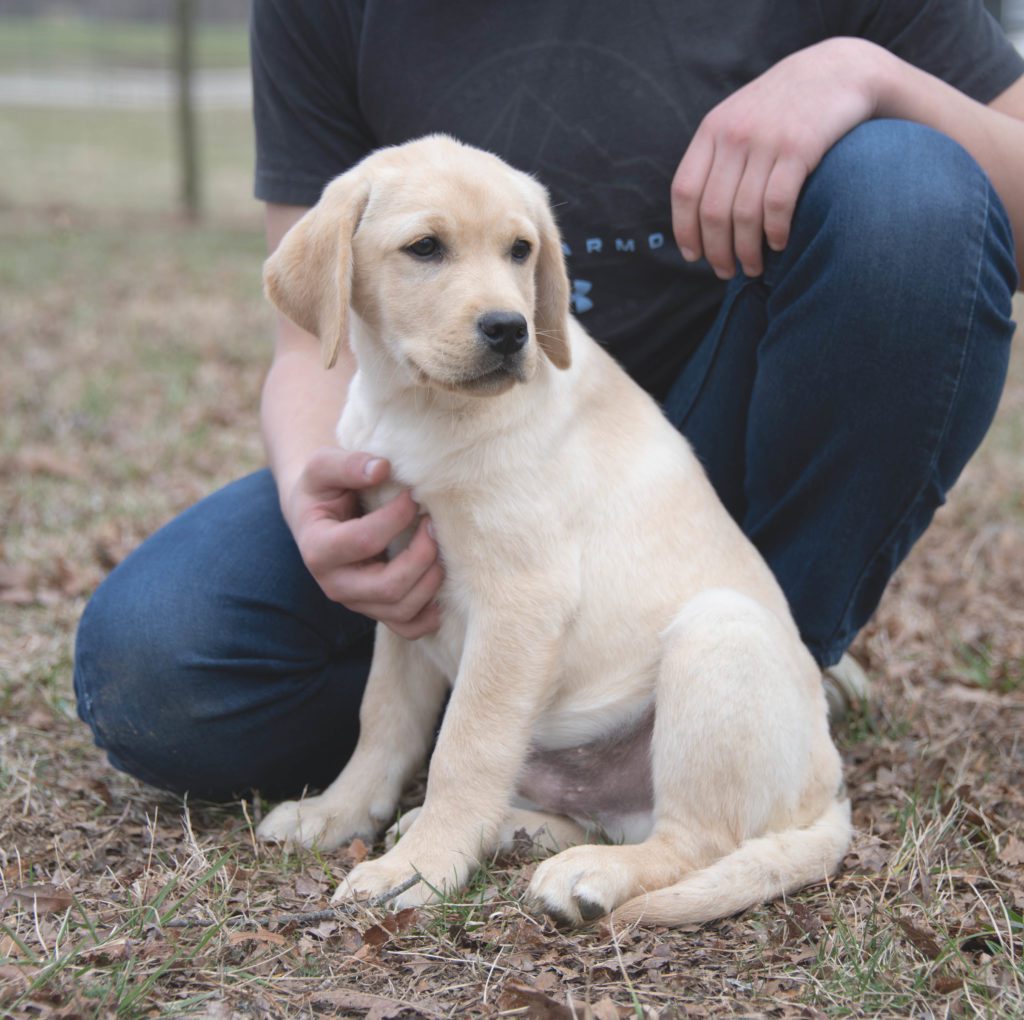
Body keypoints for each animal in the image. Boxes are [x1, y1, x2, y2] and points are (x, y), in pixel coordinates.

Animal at [256, 133, 847, 925]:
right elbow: (383, 717)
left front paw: (418, 871)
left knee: (694, 840)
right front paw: (339, 812)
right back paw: (515, 830)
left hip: (720, 635)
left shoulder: (521, 599)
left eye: (520, 250)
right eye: (424, 248)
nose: (510, 330)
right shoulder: (404, 584)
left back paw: (586, 873)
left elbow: (463, 745)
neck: (416, 406)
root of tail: (830, 792)